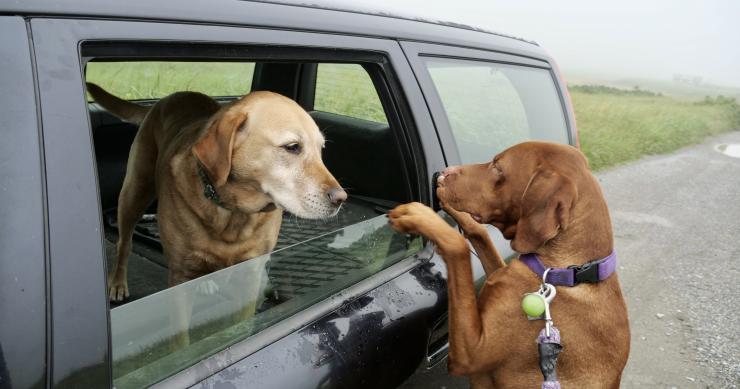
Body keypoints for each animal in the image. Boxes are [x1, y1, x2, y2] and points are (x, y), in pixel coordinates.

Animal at [86, 82, 346, 304]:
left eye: (321, 149)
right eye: (292, 147)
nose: (341, 199)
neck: (233, 213)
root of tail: (168, 98)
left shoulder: (250, 272)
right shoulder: (179, 276)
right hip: (135, 191)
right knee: (124, 243)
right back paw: (117, 282)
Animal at [388, 142, 632, 388]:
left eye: (498, 167)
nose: (446, 172)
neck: (567, 271)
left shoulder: (471, 353)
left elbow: (457, 244)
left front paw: (421, 215)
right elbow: (479, 232)